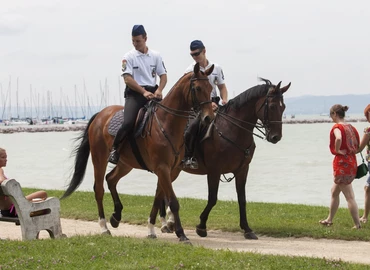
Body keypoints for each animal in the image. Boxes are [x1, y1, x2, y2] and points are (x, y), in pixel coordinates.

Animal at [61, 62, 214, 243]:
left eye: (211, 87)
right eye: (197, 88)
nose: (208, 118)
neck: (166, 123)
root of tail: (100, 115)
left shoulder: (170, 170)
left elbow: (157, 198)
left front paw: (151, 229)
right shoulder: (162, 168)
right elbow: (173, 201)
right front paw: (181, 234)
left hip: (126, 163)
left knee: (111, 179)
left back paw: (116, 216)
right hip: (99, 159)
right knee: (99, 189)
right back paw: (104, 227)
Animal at [155, 77, 290, 238]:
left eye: (283, 107)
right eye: (272, 106)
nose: (276, 137)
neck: (233, 130)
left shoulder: (242, 170)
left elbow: (242, 199)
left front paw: (247, 229)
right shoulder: (214, 170)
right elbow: (212, 199)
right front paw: (201, 226)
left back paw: (169, 222)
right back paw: (165, 224)